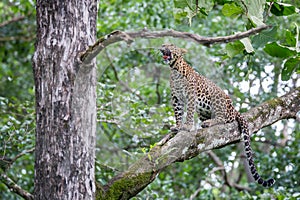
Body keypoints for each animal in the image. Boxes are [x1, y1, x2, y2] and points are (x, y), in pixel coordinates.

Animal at [161, 43, 276, 188]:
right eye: (164, 45)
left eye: (171, 46)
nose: (162, 46)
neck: (175, 70)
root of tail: (234, 109)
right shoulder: (176, 98)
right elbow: (178, 114)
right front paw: (177, 126)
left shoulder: (191, 95)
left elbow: (189, 112)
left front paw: (187, 126)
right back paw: (205, 123)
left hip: (216, 95)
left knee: (224, 119)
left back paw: (209, 123)